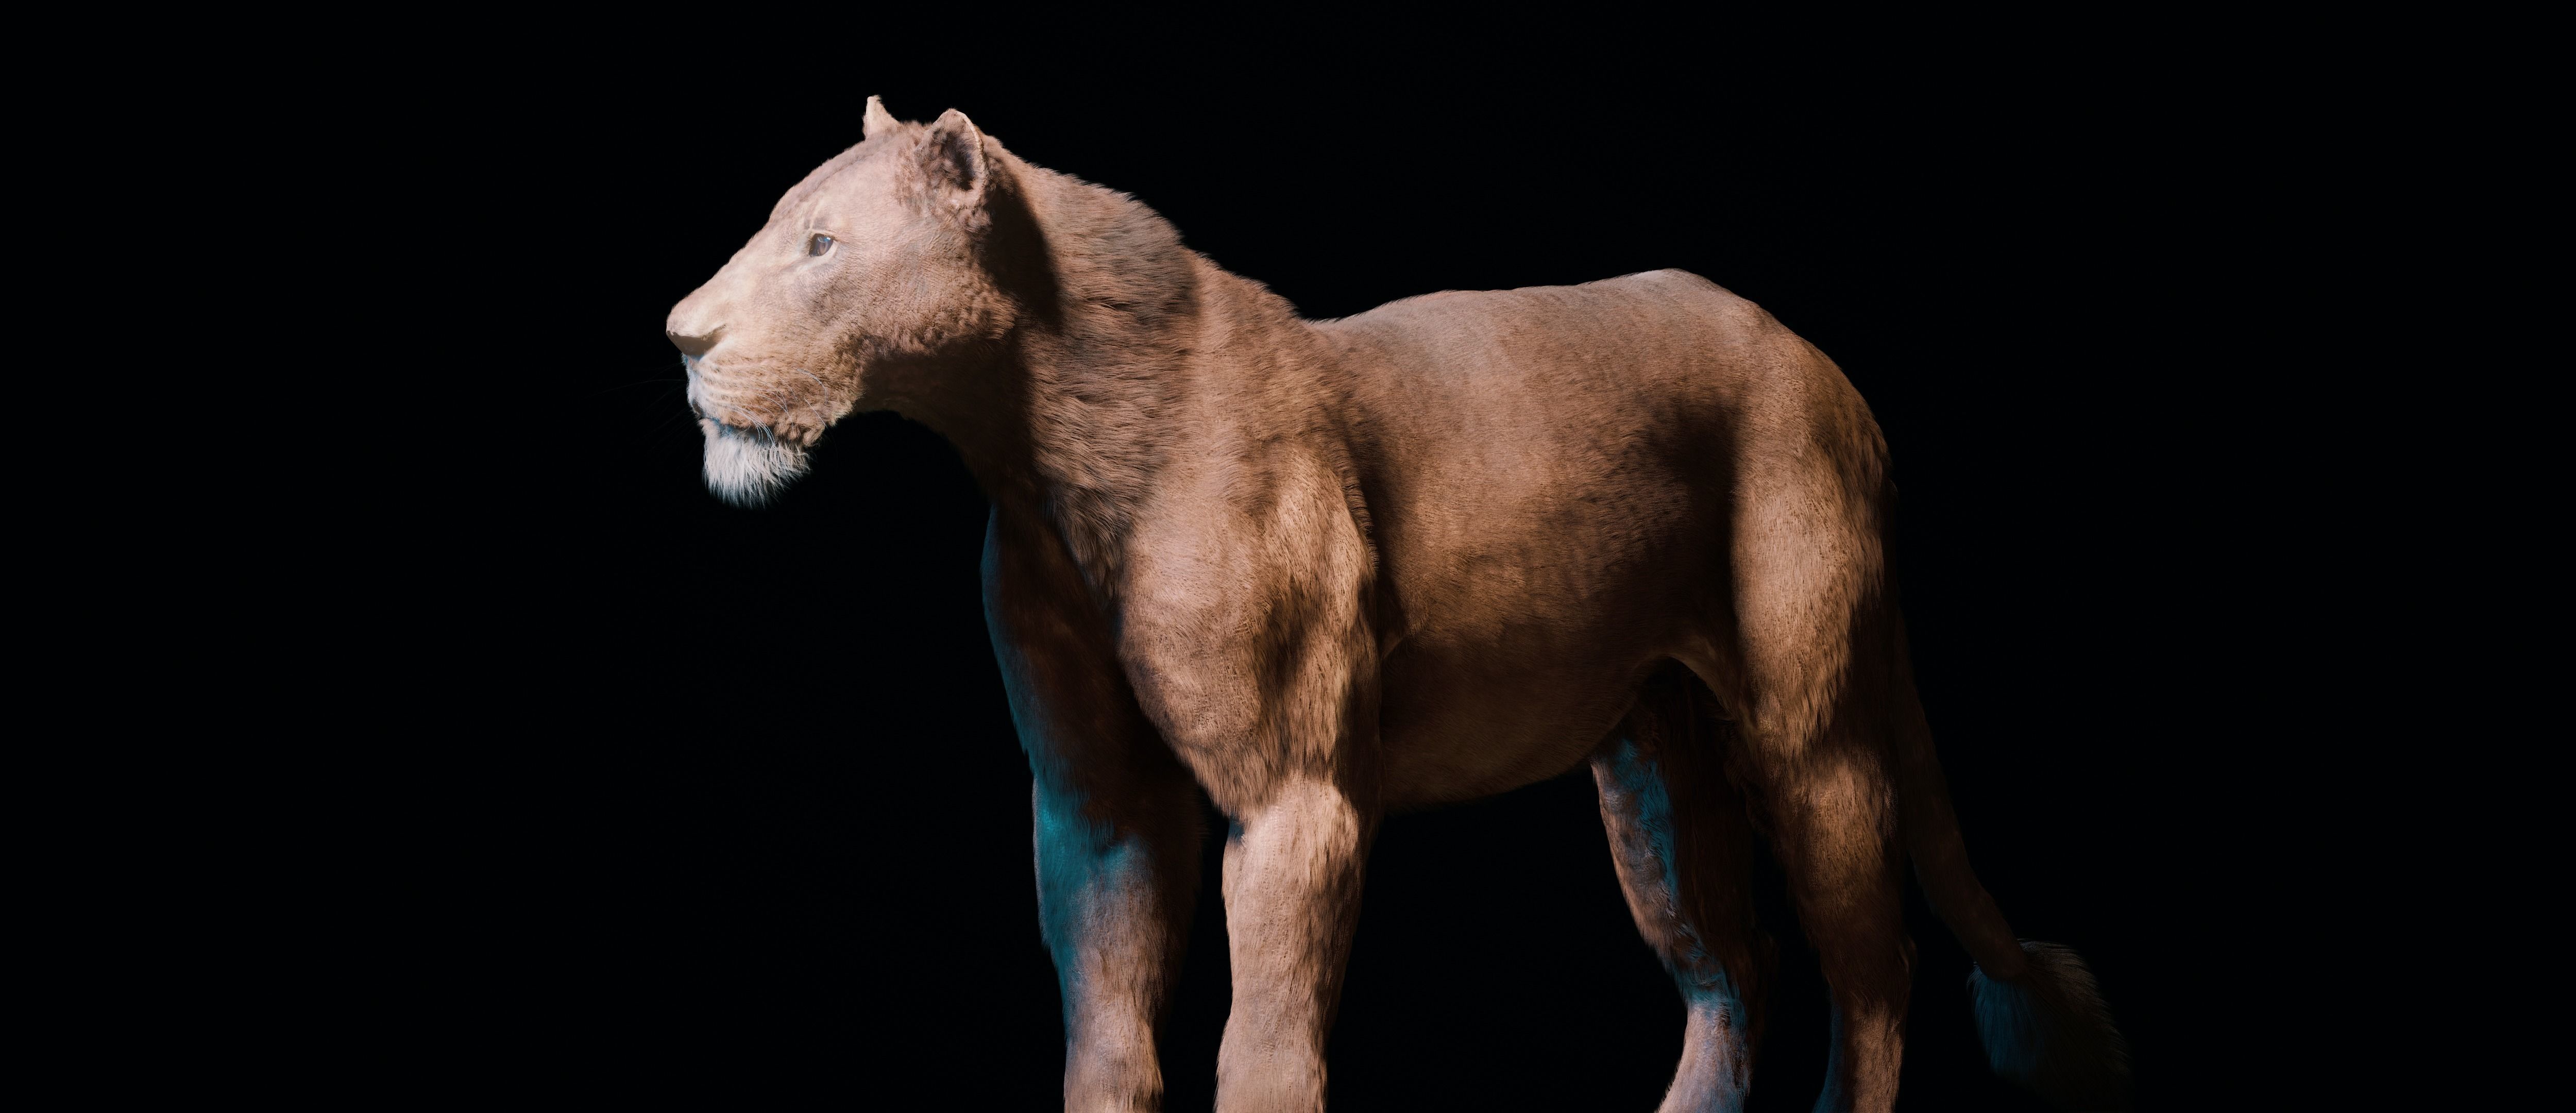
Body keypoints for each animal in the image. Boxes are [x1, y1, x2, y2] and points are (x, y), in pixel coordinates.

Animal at [664, 97, 2131, 1113]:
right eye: (782, 223)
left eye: (821, 245)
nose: (680, 338)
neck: (1036, 456)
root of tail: (1827, 370)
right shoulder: (1097, 803)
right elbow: (1107, 1035)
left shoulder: (1294, 793)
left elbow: (1262, 1047)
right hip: (1653, 772)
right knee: (1735, 968)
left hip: (1808, 736)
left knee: (1871, 967)